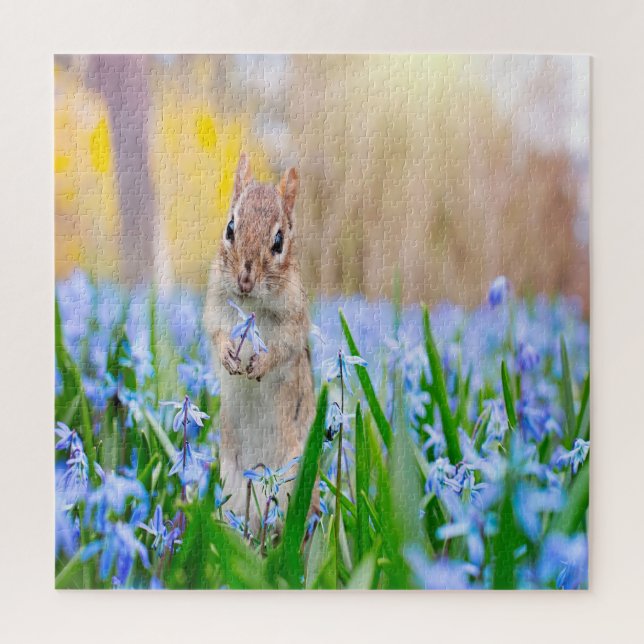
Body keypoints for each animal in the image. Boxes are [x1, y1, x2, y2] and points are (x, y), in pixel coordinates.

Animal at [204, 152, 315, 529]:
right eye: (229, 228)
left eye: (278, 241)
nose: (245, 279)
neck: (251, 304)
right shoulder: (215, 307)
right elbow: (214, 332)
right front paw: (227, 354)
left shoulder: (294, 323)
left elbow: (283, 349)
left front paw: (260, 364)